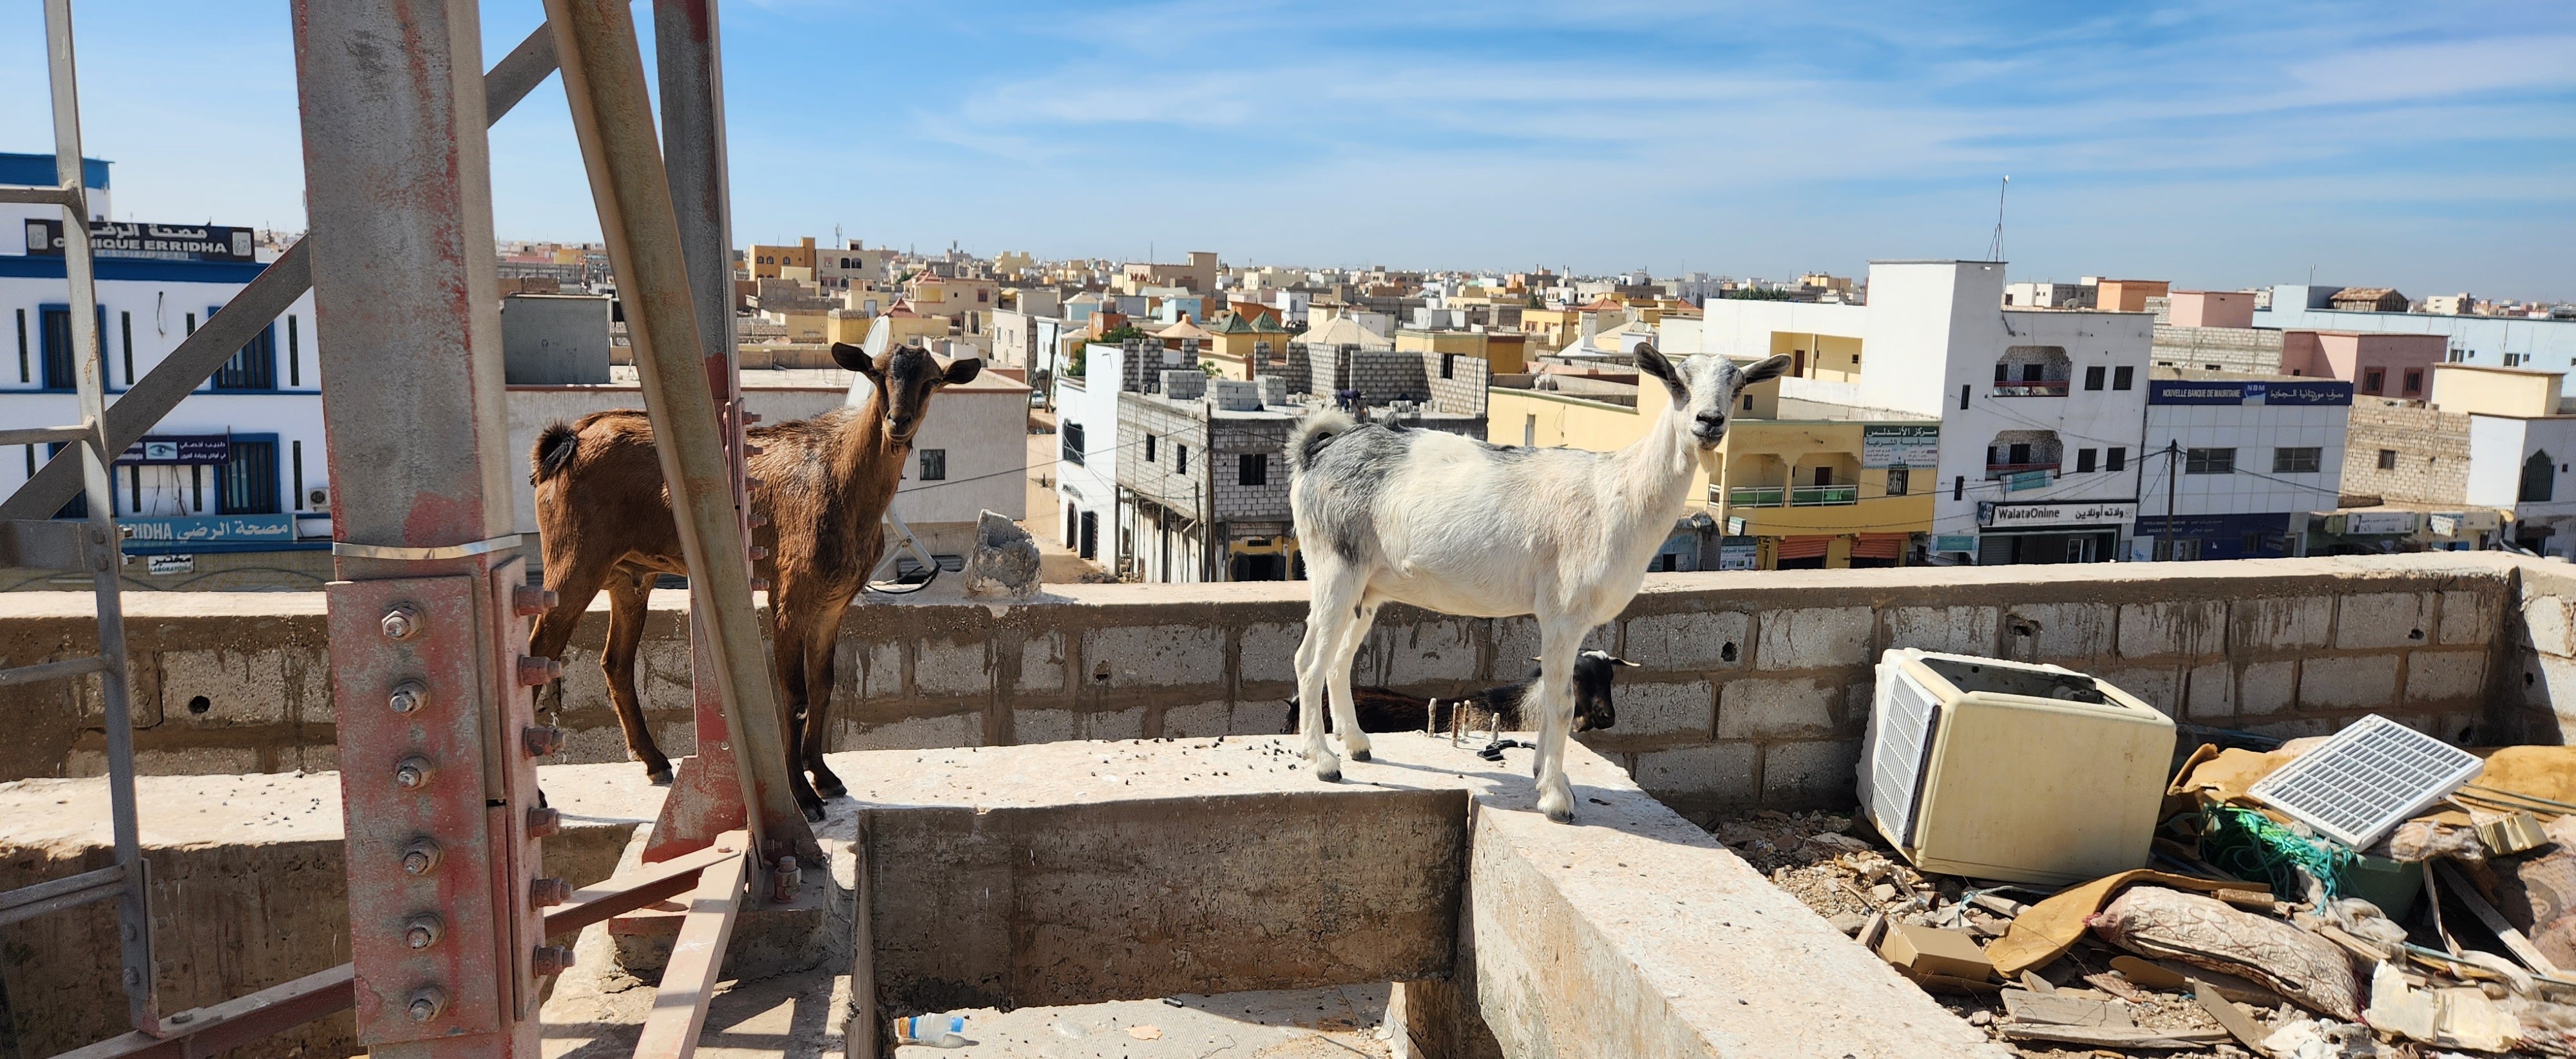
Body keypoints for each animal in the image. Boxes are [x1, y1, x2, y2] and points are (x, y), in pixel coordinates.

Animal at [528, 340, 978, 819]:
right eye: (875, 373)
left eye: (933, 380)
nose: (898, 422)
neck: (841, 480)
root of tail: (568, 440)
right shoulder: (789, 595)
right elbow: (793, 696)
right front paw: (802, 795)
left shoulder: (833, 604)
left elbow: (823, 686)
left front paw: (824, 776)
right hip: (572, 560)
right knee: (538, 656)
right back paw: (537, 796)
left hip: (628, 575)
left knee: (615, 661)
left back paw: (654, 761)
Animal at [1288, 345, 1793, 825]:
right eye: (1677, 382)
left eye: (1739, 386)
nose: (1709, 421)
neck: (1619, 493)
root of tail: (1318, 451)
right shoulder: (1563, 612)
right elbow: (1562, 702)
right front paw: (1555, 799)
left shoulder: (1572, 620)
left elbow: (1554, 695)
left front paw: (1545, 775)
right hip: (1335, 566)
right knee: (1309, 662)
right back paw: (1323, 761)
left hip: (1367, 588)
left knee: (1338, 660)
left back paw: (1356, 743)